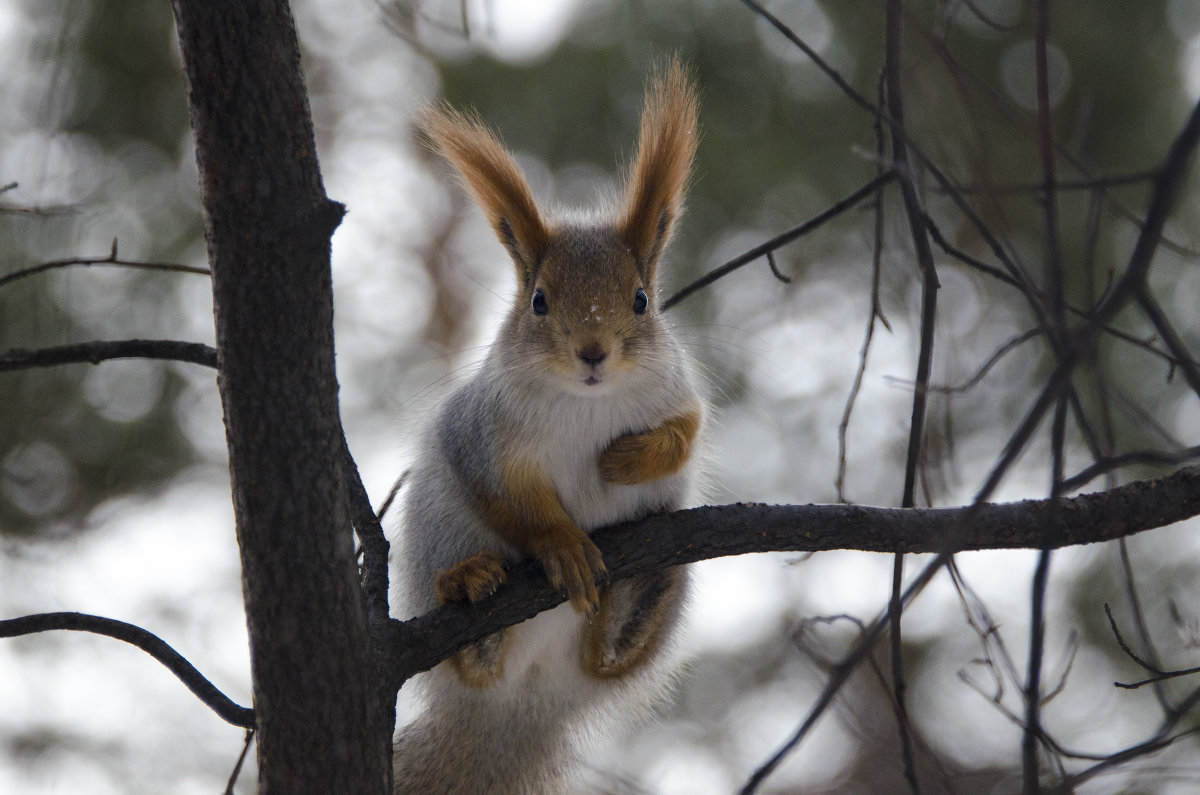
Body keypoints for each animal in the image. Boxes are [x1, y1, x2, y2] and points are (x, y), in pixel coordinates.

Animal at [393, 59, 705, 792]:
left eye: (641, 301)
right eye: (538, 301)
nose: (592, 352)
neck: (587, 401)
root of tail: (524, 708)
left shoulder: (677, 392)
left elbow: (685, 436)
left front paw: (627, 461)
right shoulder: (482, 438)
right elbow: (513, 499)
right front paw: (562, 544)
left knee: (608, 661)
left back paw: (639, 599)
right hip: (439, 528)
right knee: (474, 663)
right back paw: (472, 593)